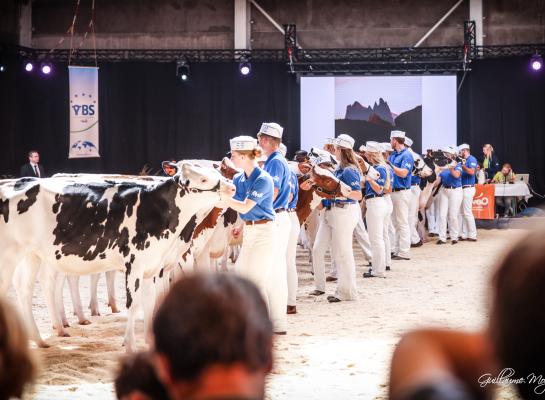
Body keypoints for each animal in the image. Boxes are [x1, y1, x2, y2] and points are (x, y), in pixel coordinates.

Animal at [0, 162, 234, 350]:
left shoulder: (153, 267)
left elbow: (150, 301)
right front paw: (129, 345)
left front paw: (149, 342)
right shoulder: (135, 265)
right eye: (203, 179)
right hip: (9, 255)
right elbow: (134, 304)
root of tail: (11, 183)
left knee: (26, 289)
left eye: (216, 171)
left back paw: (39, 340)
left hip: (31, 255)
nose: (232, 187)